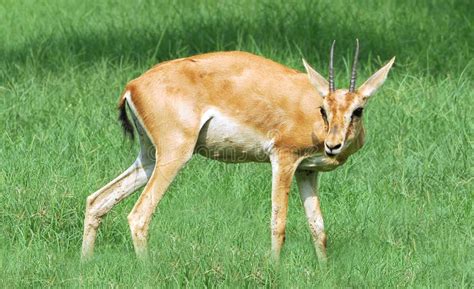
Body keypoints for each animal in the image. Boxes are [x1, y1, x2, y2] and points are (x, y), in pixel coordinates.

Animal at [82, 40, 396, 260]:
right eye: (323, 109)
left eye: (357, 110)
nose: (333, 145)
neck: (311, 119)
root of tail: (133, 85)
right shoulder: (283, 159)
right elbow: (278, 223)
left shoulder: (307, 172)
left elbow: (318, 228)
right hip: (174, 155)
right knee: (139, 215)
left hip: (148, 158)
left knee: (97, 200)